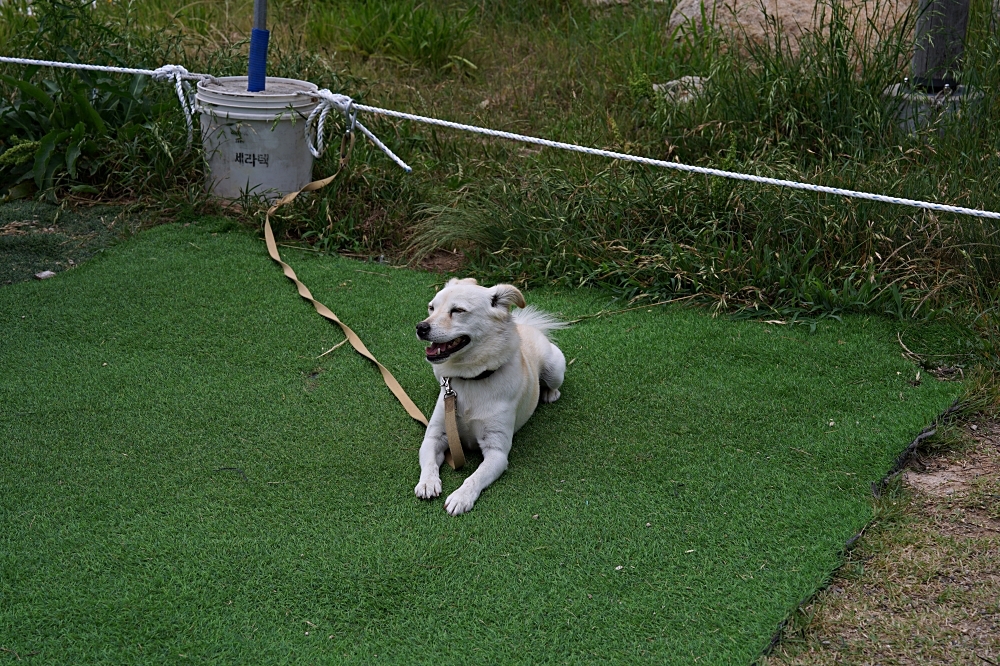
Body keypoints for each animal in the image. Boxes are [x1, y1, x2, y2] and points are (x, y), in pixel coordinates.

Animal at [412, 274, 564, 512]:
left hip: (555, 368)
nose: (420, 327)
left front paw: (460, 497)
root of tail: (526, 327)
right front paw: (428, 483)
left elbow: (474, 477)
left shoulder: (497, 451)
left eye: (458, 310)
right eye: (431, 308)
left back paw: (550, 393)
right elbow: (428, 462)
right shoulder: (434, 436)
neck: (471, 380)